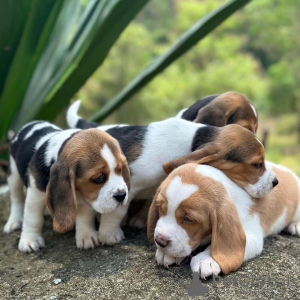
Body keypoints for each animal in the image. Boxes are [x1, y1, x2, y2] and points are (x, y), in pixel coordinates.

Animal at [3, 120, 130, 252]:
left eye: (120, 170)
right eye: (98, 177)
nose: (122, 195)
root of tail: (32, 122)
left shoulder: (86, 197)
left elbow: (85, 217)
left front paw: (86, 236)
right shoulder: (35, 194)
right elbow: (33, 219)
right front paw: (29, 240)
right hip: (13, 174)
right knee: (16, 198)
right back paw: (14, 221)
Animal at [67, 101, 278, 246]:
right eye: (257, 164)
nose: (276, 182)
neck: (192, 139)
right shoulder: (127, 185)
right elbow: (116, 210)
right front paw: (109, 234)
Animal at [148, 163, 300, 278]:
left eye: (188, 219)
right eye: (160, 208)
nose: (160, 241)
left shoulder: (251, 234)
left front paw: (208, 259)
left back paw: (296, 225)